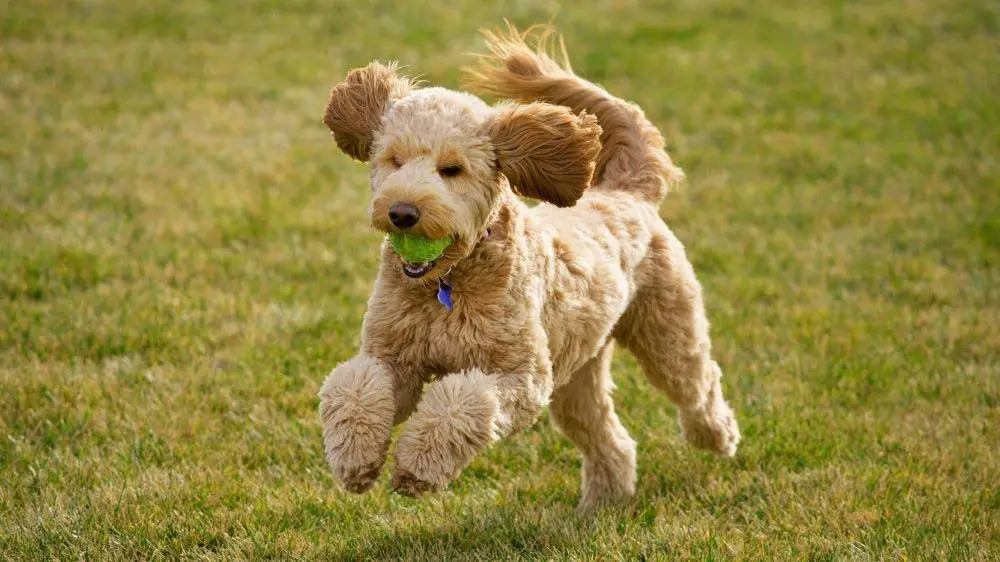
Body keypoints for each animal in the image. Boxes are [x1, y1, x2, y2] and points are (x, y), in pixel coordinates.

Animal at [316, 25, 740, 508]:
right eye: (394, 160)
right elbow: (355, 386)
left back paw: (718, 437)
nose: (402, 212)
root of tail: (630, 193)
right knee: (607, 436)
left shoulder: (522, 376)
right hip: (577, 374)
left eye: (452, 169)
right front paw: (355, 459)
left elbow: (465, 402)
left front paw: (416, 468)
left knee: (698, 386)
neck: (449, 284)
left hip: (668, 334)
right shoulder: (393, 357)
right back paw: (603, 503)